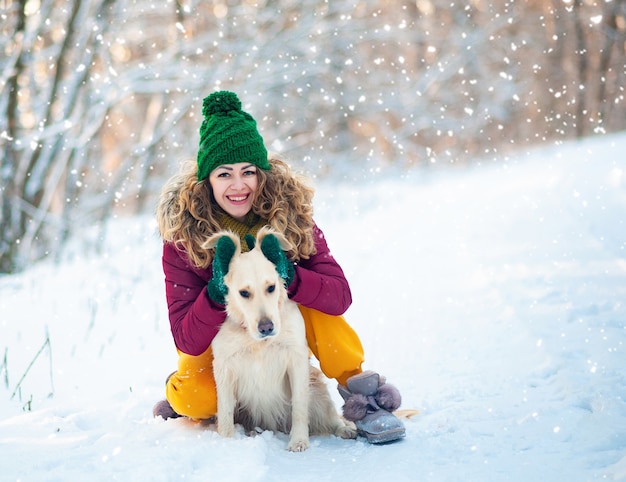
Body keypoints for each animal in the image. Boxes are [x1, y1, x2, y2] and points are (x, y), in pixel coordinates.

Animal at [201, 227, 354, 452]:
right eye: (244, 293)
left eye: (271, 287)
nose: (267, 328)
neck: (257, 341)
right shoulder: (224, 366)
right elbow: (226, 412)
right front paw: (227, 443)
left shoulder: (296, 358)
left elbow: (299, 406)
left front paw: (298, 441)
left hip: (317, 390)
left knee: (330, 417)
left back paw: (346, 428)